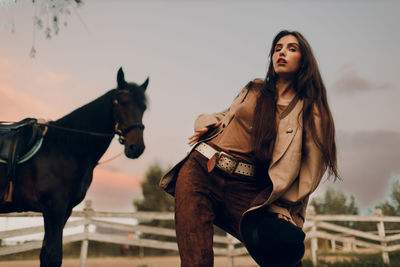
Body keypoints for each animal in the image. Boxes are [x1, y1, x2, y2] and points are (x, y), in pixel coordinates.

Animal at [0, 68, 148, 267]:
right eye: (123, 103)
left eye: (143, 108)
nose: (136, 147)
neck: (67, 147)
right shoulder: (54, 206)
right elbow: (53, 256)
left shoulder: (65, 209)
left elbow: (47, 255)